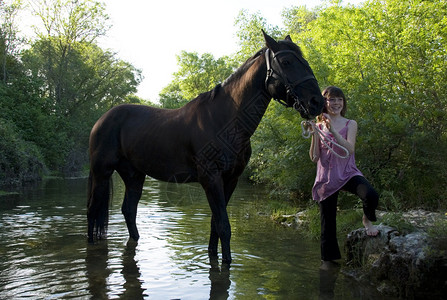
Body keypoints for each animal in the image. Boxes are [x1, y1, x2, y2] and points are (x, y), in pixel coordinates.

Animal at [87, 30, 326, 264]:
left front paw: (213, 255)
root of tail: (101, 120)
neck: (225, 121)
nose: (318, 102)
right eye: (286, 62)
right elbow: (224, 226)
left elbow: (216, 224)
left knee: (128, 210)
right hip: (102, 172)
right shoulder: (211, 178)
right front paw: (226, 262)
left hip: (134, 175)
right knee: (92, 210)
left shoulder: (230, 179)